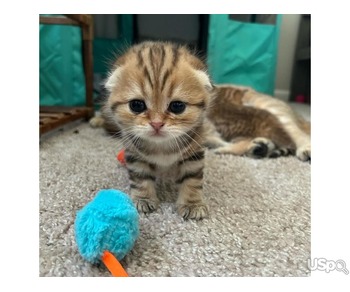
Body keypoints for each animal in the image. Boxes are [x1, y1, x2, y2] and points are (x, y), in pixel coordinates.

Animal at [103, 41, 213, 219]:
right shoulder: (135, 154)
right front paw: (144, 199)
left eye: (177, 106)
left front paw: (192, 204)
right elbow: (140, 177)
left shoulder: (194, 152)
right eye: (136, 105)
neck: (162, 147)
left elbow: (192, 180)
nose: (156, 123)